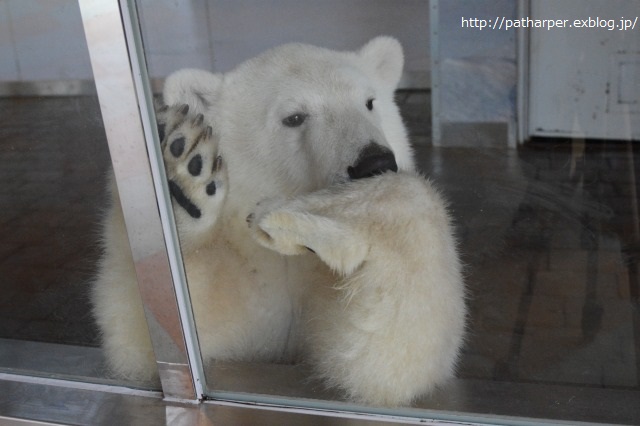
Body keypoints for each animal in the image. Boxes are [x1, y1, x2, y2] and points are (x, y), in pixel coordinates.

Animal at [94, 37, 464, 406]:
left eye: (369, 101)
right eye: (294, 117)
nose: (373, 162)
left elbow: (378, 357)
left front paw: (313, 221)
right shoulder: (256, 278)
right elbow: (153, 338)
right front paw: (178, 170)